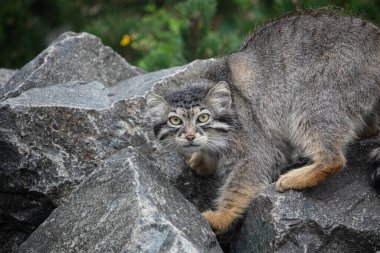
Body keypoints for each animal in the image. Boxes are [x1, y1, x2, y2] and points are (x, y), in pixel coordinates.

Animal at [145, 10, 380, 234]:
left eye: (203, 118)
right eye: (175, 121)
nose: (190, 136)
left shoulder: (254, 149)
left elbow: (240, 185)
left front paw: (222, 217)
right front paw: (204, 159)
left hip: (317, 97)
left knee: (333, 158)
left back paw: (299, 176)